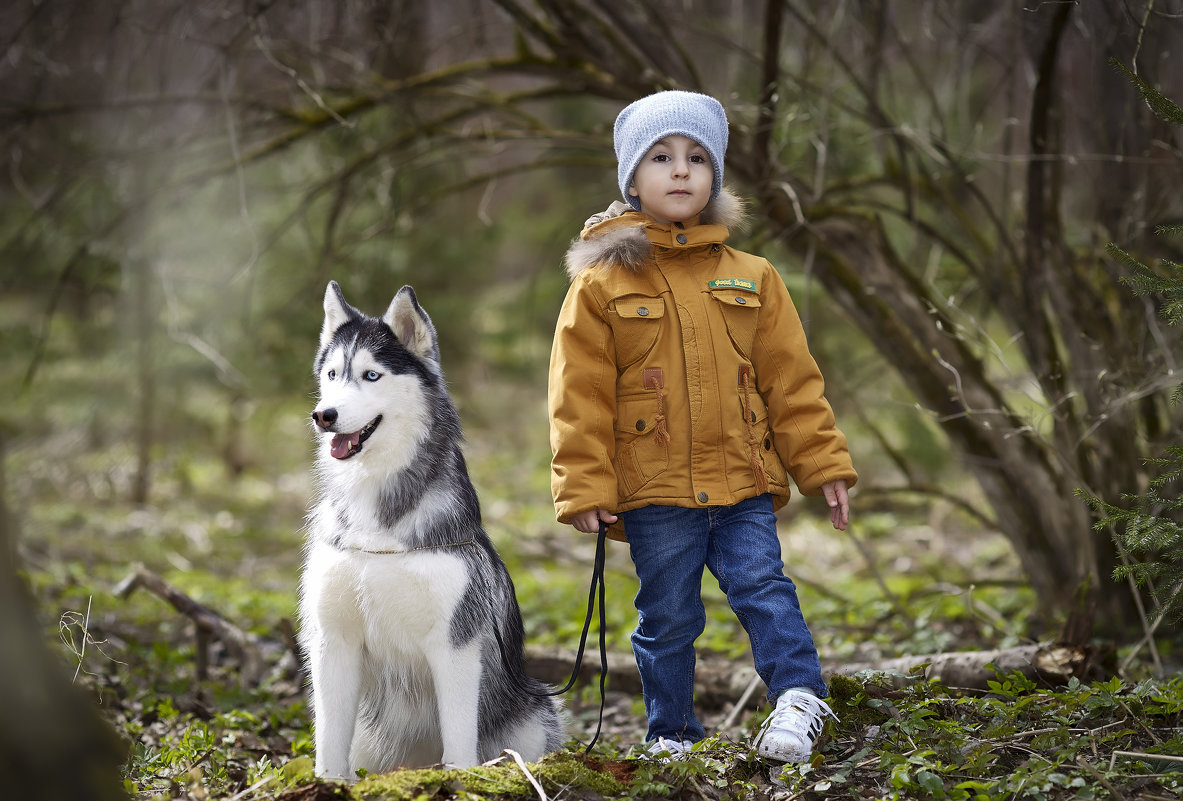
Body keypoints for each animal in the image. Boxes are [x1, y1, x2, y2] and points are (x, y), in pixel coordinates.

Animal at [302, 279, 565, 776]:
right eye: (332, 374)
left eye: (371, 376)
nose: (324, 415)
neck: (377, 511)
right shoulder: (334, 640)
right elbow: (328, 744)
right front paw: (328, 782)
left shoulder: (455, 643)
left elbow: (459, 742)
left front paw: (460, 779)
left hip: (534, 711)